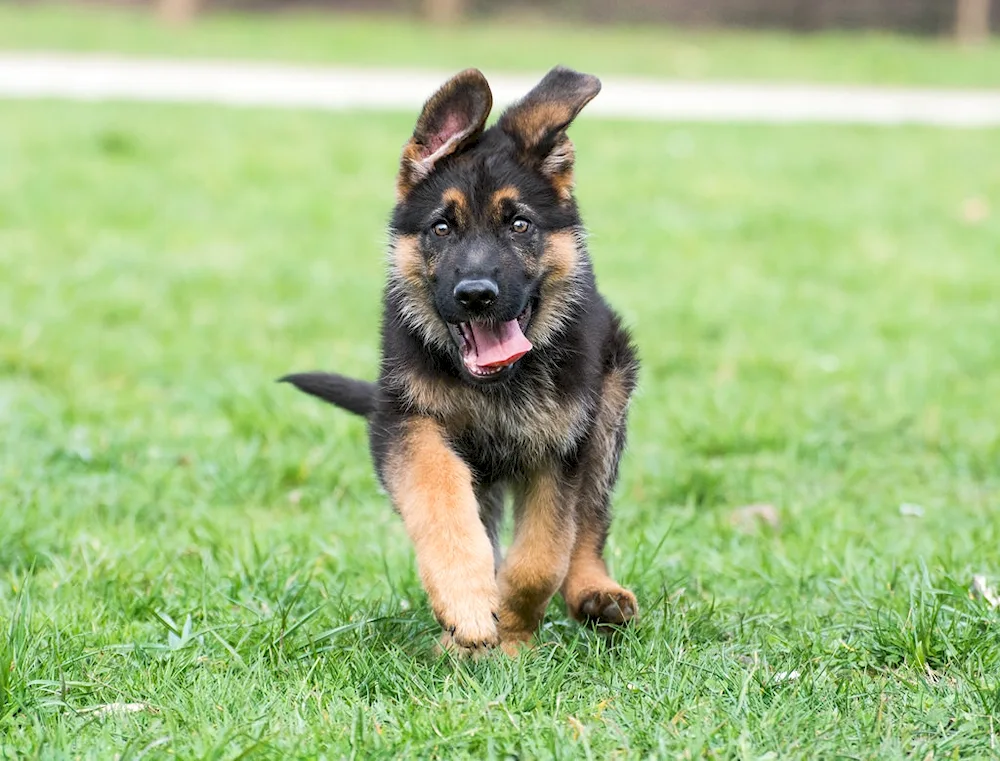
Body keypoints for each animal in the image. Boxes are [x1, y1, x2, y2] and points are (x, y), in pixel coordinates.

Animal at [286, 68, 636, 656]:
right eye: (441, 228)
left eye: (519, 225)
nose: (476, 295)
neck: (495, 385)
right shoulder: (406, 424)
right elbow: (440, 500)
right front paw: (468, 605)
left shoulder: (560, 446)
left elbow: (543, 555)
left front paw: (512, 634)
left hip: (609, 403)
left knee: (589, 520)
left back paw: (595, 591)